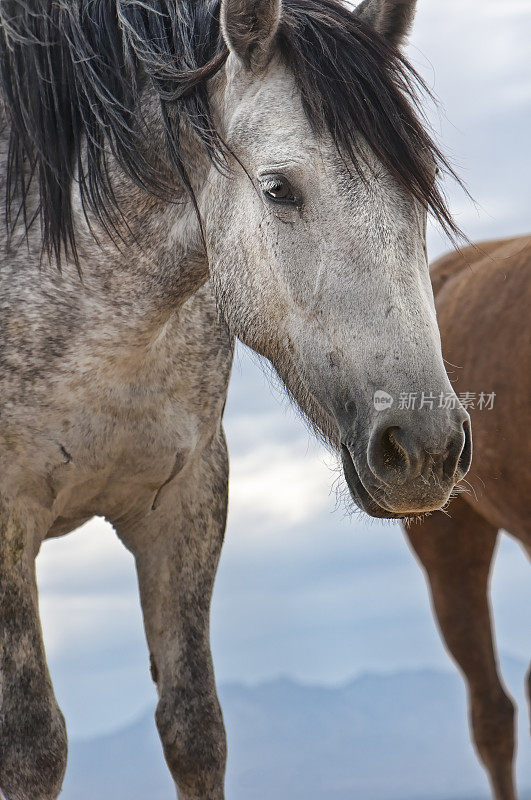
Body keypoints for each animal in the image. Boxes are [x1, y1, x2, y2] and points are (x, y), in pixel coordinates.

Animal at [0, 1, 474, 800]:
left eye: (422, 184)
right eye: (279, 188)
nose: (425, 447)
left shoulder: (186, 500)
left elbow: (195, 729)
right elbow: (33, 742)